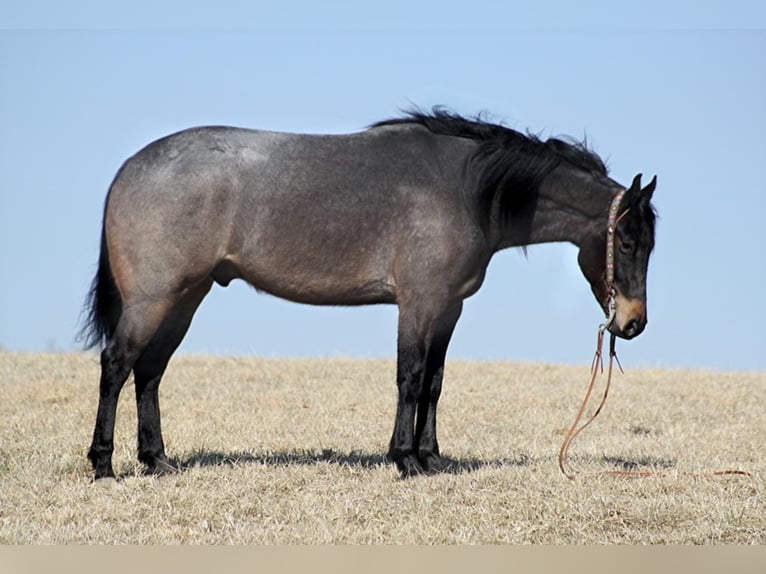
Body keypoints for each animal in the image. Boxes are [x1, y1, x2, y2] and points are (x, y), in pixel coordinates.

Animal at [79, 110, 660, 480]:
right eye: (628, 241)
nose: (633, 323)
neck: (465, 189)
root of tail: (131, 168)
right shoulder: (419, 303)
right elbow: (409, 378)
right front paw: (404, 459)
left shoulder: (448, 307)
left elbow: (434, 383)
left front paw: (430, 458)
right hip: (154, 299)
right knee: (117, 364)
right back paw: (104, 464)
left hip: (185, 298)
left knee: (149, 372)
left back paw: (156, 461)